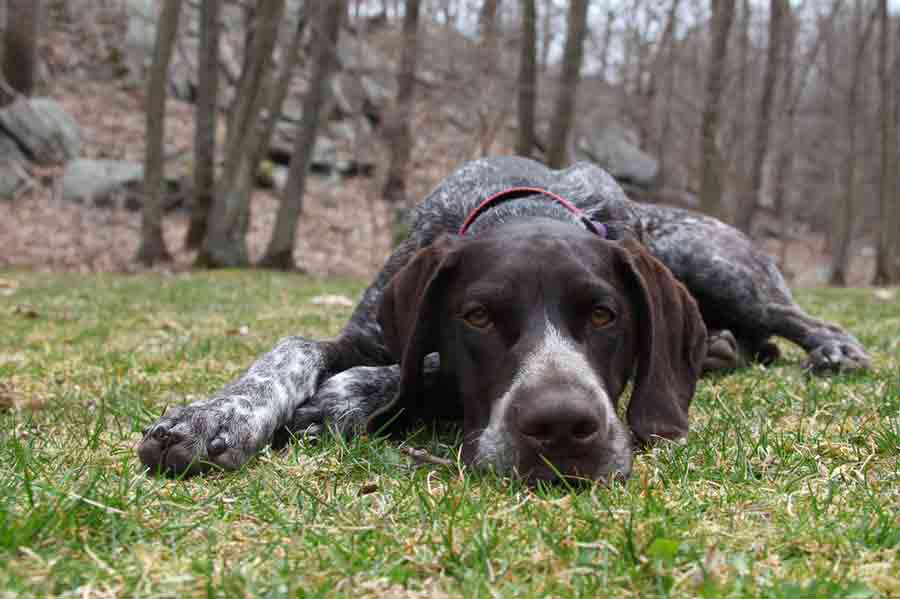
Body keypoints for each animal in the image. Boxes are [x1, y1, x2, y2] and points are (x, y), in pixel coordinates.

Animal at [137, 158, 868, 482]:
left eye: (604, 315)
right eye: (479, 316)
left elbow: (416, 372)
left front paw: (342, 399)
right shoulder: (366, 331)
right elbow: (292, 348)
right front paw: (215, 415)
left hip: (713, 262)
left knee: (793, 318)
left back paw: (831, 350)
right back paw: (720, 349)